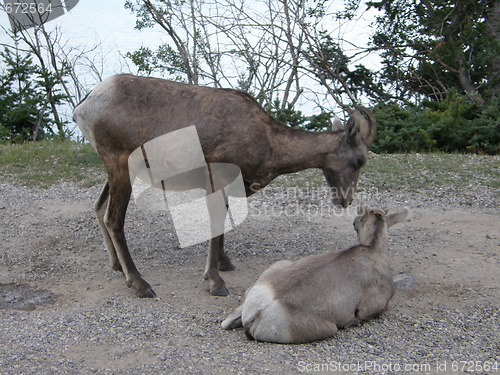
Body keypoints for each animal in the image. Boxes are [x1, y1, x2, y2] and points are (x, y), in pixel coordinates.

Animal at [73, 75, 376, 298]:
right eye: (359, 159)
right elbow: (216, 222)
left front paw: (224, 263)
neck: (268, 139)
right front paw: (215, 283)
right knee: (113, 219)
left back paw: (117, 267)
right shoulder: (217, 177)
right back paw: (140, 284)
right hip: (121, 165)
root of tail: (85, 105)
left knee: (99, 207)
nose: (345, 200)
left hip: (117, 171)